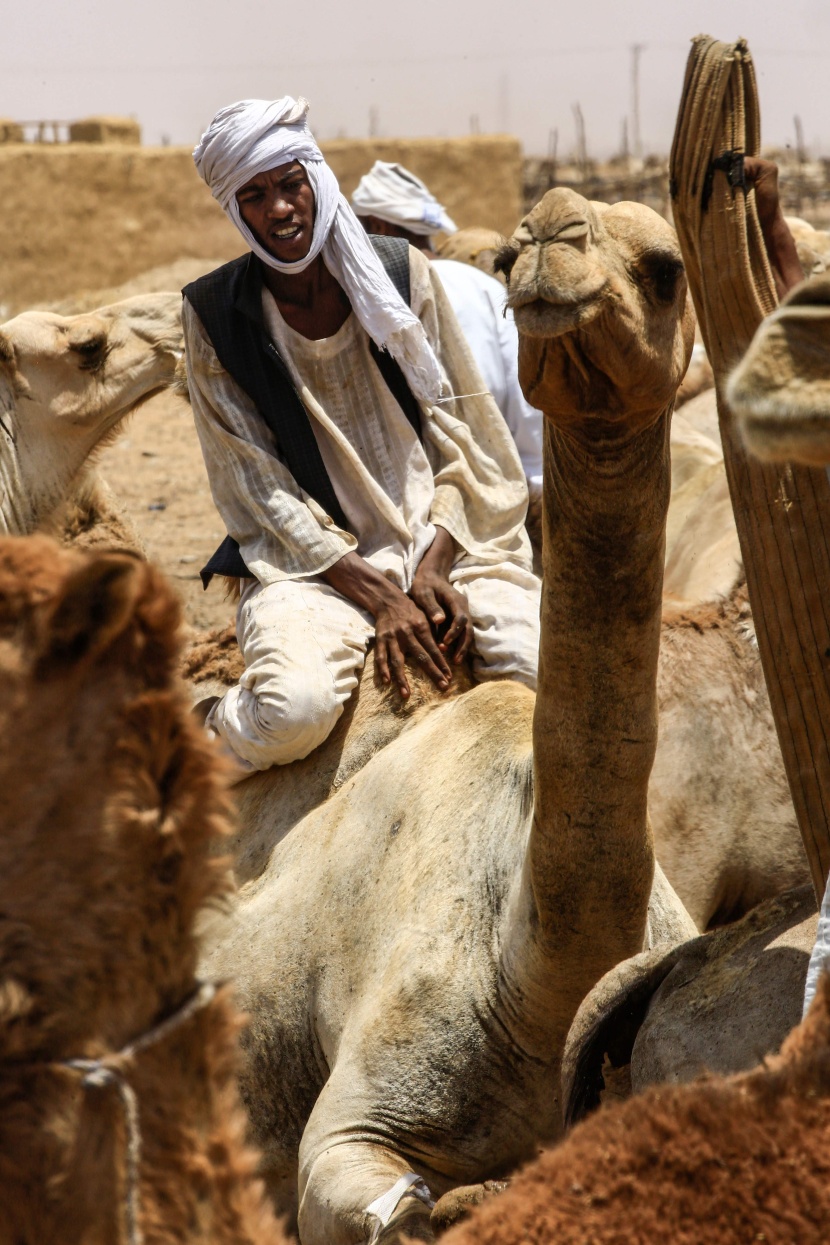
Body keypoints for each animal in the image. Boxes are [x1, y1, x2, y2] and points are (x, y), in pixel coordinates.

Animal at [201, 186, 701, 1245]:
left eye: (665, 267)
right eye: (507, 256)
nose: (552, 235)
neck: (533, 978)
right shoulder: (354, 1128)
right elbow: (383, 1204)